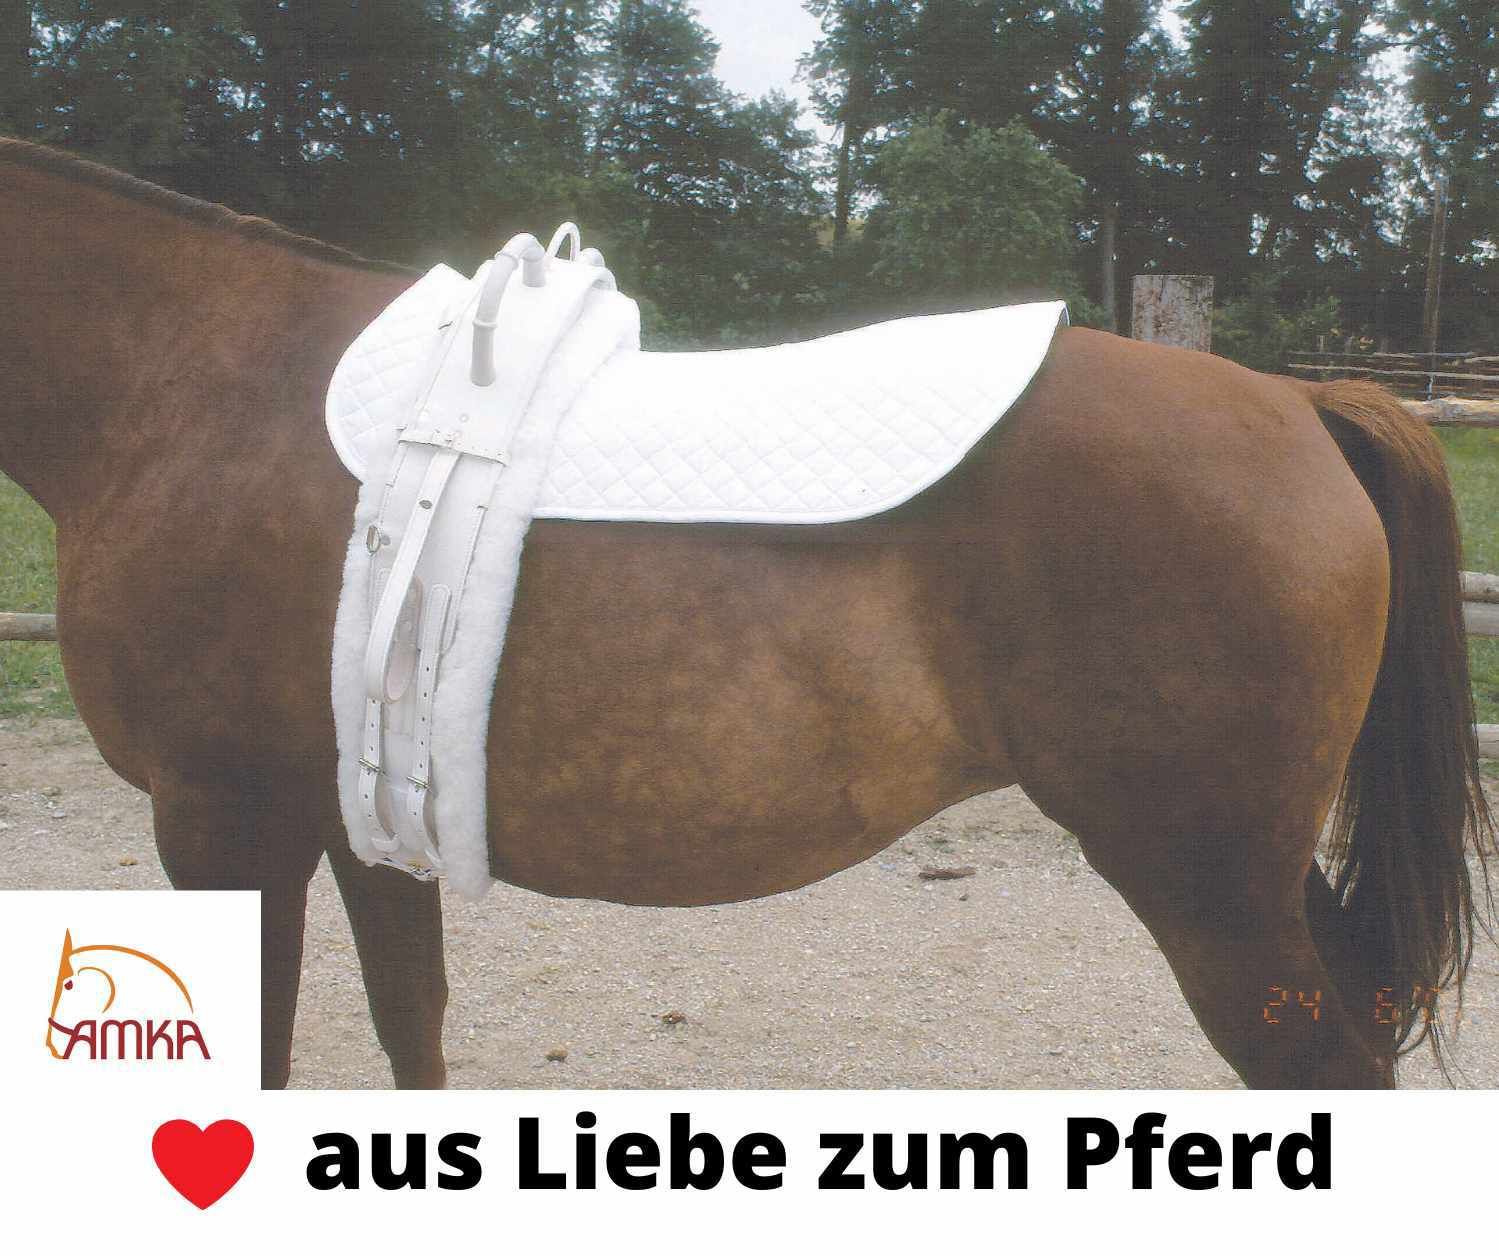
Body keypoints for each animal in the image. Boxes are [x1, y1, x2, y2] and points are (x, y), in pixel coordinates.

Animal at [1, 137, 1491, 1089]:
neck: (188, 379)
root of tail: (1297, 400)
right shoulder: (360, 823)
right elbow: (408, 1029)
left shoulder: (222, 818)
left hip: (1206, 883)